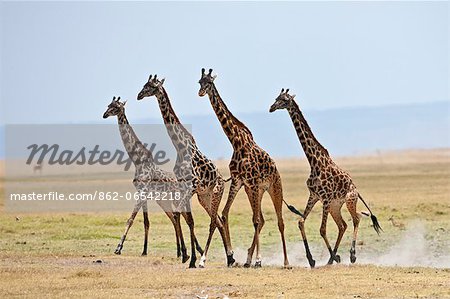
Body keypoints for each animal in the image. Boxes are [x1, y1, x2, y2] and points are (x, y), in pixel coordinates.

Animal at [103, 97, 201, 264]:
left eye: (115, 107)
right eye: (108, 105)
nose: (104, 114)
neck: (138, 161)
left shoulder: (142, 192)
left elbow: (130, 219)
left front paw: (118, 248)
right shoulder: (142, 193)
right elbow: (146, 222)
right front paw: (144, 251)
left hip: (176, 199)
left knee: (184, 218)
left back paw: (193, 251)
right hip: (164, 201)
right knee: (174, 219)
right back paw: (180, 252)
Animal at [137, 75, 236, 270]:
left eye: (150, 86)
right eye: (144, 85)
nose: (139, 95)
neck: (180, 147)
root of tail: (223, 179)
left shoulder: (192, 186)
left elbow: (184, 217)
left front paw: (190, 258)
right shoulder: (186, 188)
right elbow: (185, 218)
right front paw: (187, 257)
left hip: (215, 192)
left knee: (215, 221)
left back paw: (210, 259)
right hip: (204, 197)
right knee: (218, 221)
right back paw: (230, 258)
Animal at [198, 68, 290, 270]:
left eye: (209, 82)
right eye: (199, 81)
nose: (200, 92)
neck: (236, 141)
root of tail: (276, 169)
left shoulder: (252, 182)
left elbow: (254, 220)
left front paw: (258, 260)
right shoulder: (238, 181)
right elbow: (225, 214)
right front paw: (232, 256)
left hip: (274, 188)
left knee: (278, 221)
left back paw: (285, 262)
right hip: (255, 190)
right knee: (261, 219)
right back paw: (248, 259)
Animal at [268, 88, 382, 268]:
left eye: (284, 100)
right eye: (276, 98)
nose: (271, 108)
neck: (314, 162)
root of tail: (356, 189)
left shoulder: (325, 198)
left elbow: (322, 230)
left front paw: (332, 257)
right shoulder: (315, 196)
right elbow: (301, 222)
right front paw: (312, 259)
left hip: (349, 200)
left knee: (356, 219)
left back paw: (351, 255)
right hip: (335, 206)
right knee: (343, 225)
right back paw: (331, 258)